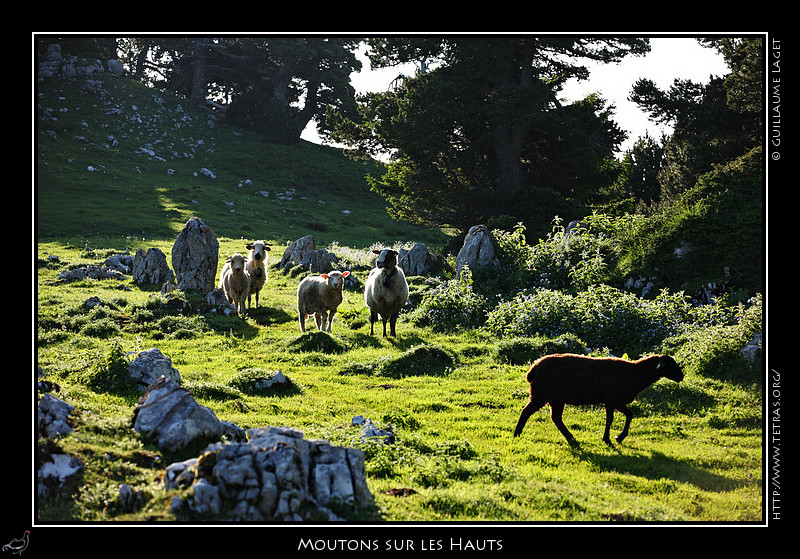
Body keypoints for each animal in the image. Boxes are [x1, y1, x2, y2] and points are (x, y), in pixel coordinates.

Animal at [512, 354, 680, 446]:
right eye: (670, 365)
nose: (681, 376)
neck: (636, 373)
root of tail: (533, 369)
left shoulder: (617, 401)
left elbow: (629, 415)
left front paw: (619, 437)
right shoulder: (612, 400)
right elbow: (611, 420)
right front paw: (610, 439)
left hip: (555, 398)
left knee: (556, 418)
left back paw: (571, 438)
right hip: (541, 394)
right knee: (526, 412)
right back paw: (517, 434)